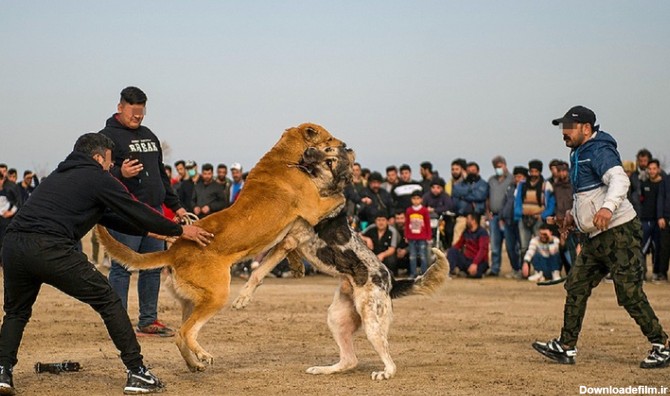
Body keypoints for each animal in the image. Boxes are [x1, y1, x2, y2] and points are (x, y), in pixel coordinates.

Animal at [234, 210, 448, 380]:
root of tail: (391, 282)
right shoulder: (286, 240)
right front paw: (296, 267)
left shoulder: (287, 240)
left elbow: (258, 271)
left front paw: (243, 297)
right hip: (337, 320)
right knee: (349, 360)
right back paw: (322, 369)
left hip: (372, 325)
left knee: (389, 362)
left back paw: (384, 373)